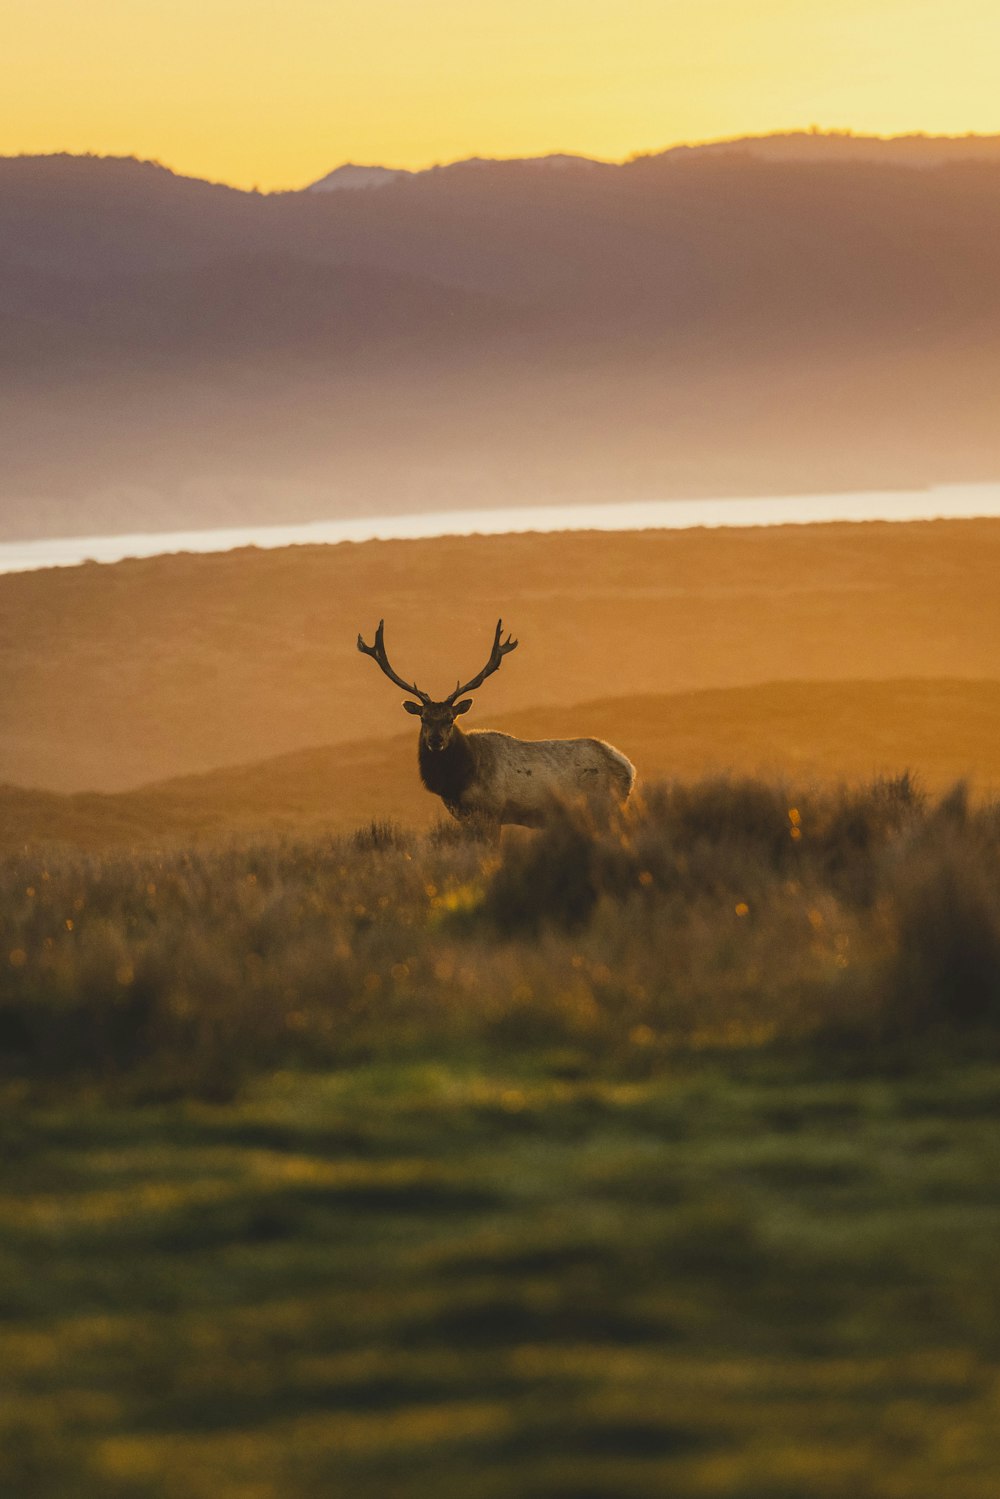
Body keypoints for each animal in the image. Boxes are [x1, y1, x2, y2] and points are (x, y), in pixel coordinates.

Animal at [358, 617, 632, 839]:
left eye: (450, 718)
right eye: (424, 718)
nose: (436, 740)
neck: (458, 780)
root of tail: (629, 768)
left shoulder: (491, 811)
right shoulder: (465, 816)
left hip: (605, 805)